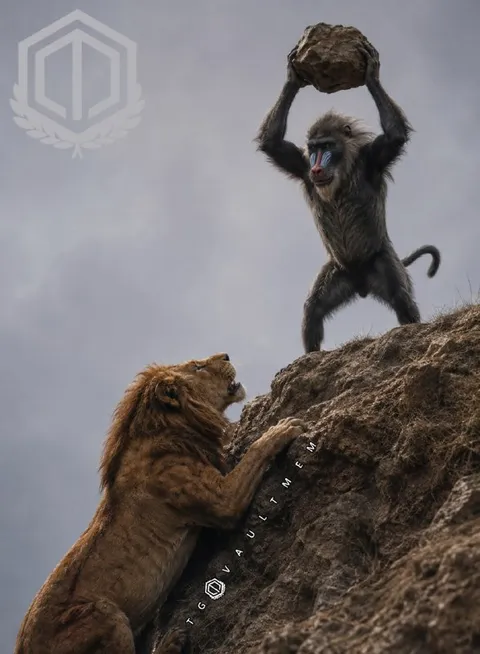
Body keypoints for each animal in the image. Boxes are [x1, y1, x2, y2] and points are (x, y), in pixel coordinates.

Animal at [255, 42, 440, 353]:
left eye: (328, 146)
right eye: (314, 148)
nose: (317, 166)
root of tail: (361, 282)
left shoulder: (374, 157)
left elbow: (394, 134)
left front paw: (371, 74)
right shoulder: (299, 164)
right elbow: (273, 143)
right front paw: (293, 76)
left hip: (382, 263)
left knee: (401, 300)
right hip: (337, 274)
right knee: (314, 309)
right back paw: (311, 354)